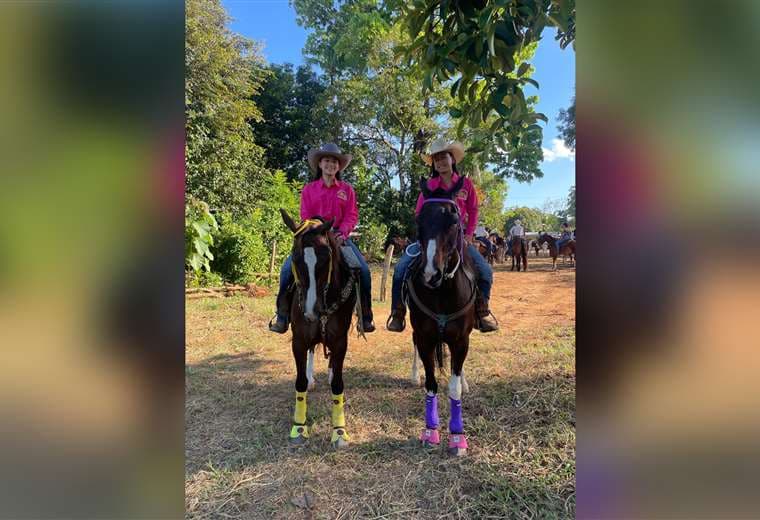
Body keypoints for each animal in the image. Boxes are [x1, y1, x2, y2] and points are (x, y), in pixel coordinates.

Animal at [280, 209, 358, 448]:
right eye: (295, 258)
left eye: (326, 258)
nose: (311, 310)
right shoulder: (299, 341)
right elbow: (300, 382)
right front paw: (299, 427)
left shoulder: (340, 342)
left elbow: (338, 385)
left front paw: (339, 431)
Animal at [406, 178, 478, 456]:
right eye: (419, 220)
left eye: (454, 221)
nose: (430, 274)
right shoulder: (425, 338)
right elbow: (431, 383)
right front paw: (430, 432)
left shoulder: (461, 341)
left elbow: (454, 388)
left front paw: (457, 437)